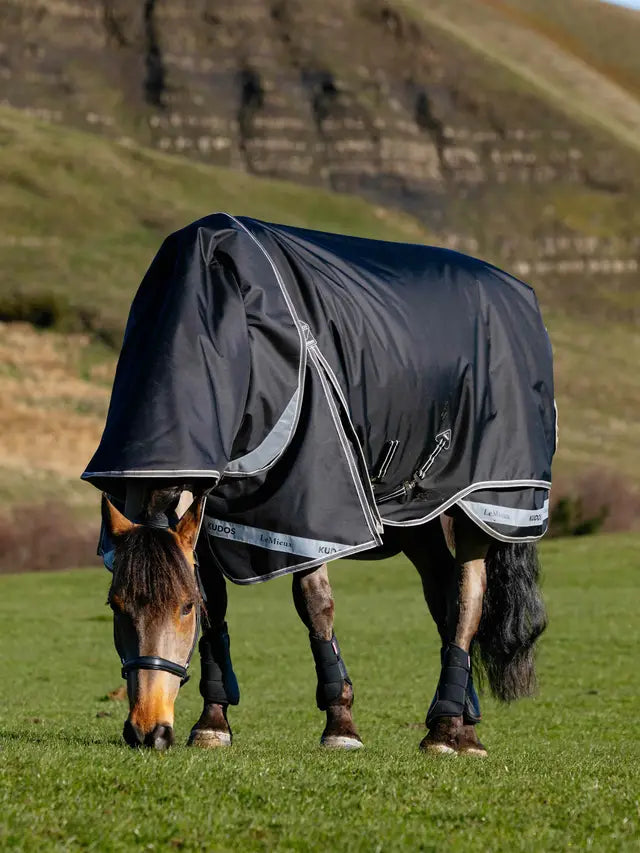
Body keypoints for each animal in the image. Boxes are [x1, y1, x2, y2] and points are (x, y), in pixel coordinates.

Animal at [86, 214, 555, 753]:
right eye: (116, 604)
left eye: (183, 609)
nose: (148, 730)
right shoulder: (210, 513)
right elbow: (217, 607)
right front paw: (212, 720)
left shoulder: (306, 508)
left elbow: (315, 606)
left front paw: (340, 723)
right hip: (421, 520)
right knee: (444, 598)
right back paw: (462, 722)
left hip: (485, 501)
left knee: (468, 599)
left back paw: (444, 730)